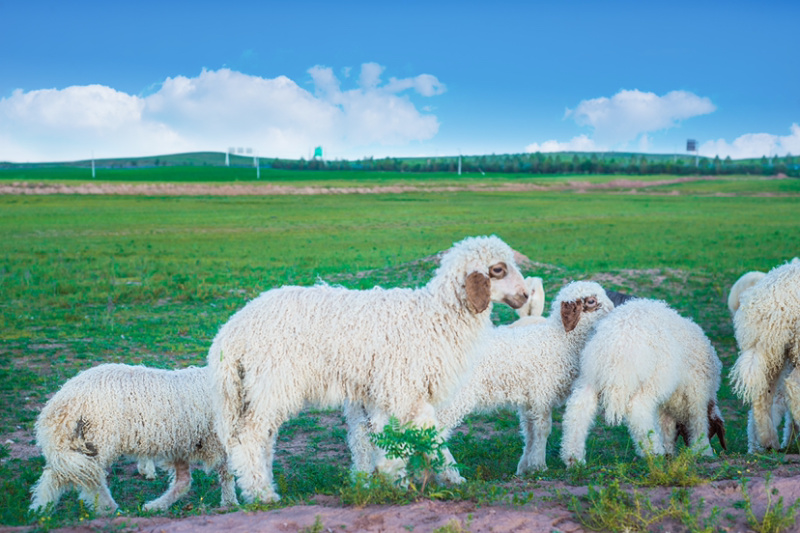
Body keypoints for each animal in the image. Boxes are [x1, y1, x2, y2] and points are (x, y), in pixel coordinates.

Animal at [31, 364, 238, 512]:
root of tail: (64, 400)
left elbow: (195, 479)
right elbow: (226, 475)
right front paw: (231, 503)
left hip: (83, 441)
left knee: (63, 473)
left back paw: (41, 508)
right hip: (99, 438)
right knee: (84, 476)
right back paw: (106, 507)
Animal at [206, 235, 532, 500]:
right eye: (498, 269)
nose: (526, 295)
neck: (435, 317)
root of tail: (230, 334)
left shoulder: (374, 394)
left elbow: (370, 439)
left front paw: (371, 481)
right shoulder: (402, 389)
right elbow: (420, 435)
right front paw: (425, 477)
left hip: (257, 389)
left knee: (263, 438)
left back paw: (264, 485)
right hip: (272, 382)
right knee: (250, 436)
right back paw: (261, 494)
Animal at [434, 278, 616, 474]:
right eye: (591, 301)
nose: (613, 311)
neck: (560, 340)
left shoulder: (529, 400)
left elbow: (529, 431)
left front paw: (524, 467)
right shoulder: (542, 393)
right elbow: (543, 429)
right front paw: (539, 465)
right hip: (455, 398)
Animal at [560, 298, 728, 464]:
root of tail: (617, 340)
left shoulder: (666, 405)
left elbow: (666, 426)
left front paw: (669, 450)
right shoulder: (697, 392)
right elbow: (698, 422)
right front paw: (703, 450)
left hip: (590, 375)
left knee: (578, 408)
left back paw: (573, 457)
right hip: (652, 380)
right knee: (637, 409)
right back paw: (653, 451)